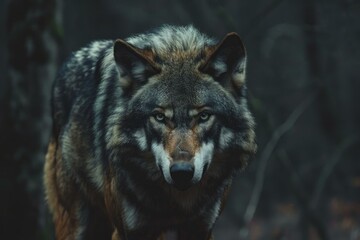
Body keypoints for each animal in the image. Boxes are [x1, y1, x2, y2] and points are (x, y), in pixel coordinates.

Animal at [44, 25, 256, 239]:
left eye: (204, 116)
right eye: (159, 117)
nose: (181, 172)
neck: (177, 204)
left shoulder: (200, 229)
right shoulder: (129, 231)